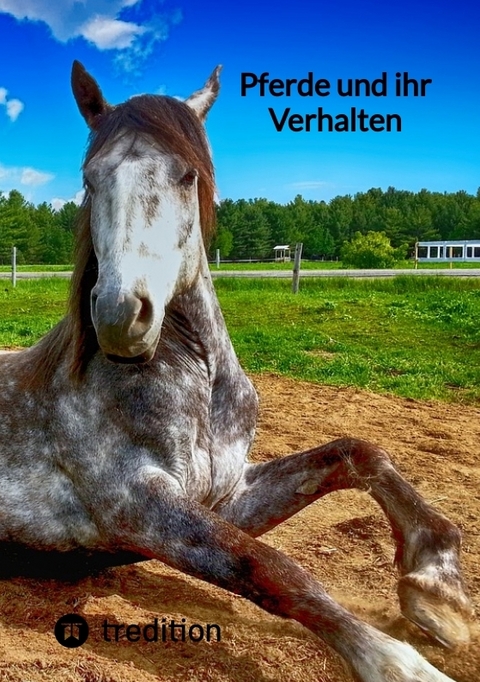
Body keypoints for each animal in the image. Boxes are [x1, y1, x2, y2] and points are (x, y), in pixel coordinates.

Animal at [0, 61, 472, 682]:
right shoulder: (137, 509)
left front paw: (438, 591)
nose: (121, 316)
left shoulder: (227, 495)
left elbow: (358, 453)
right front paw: (396, 662)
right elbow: (269, 566)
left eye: (187, 176)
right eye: (90, 179)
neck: (196, 384)